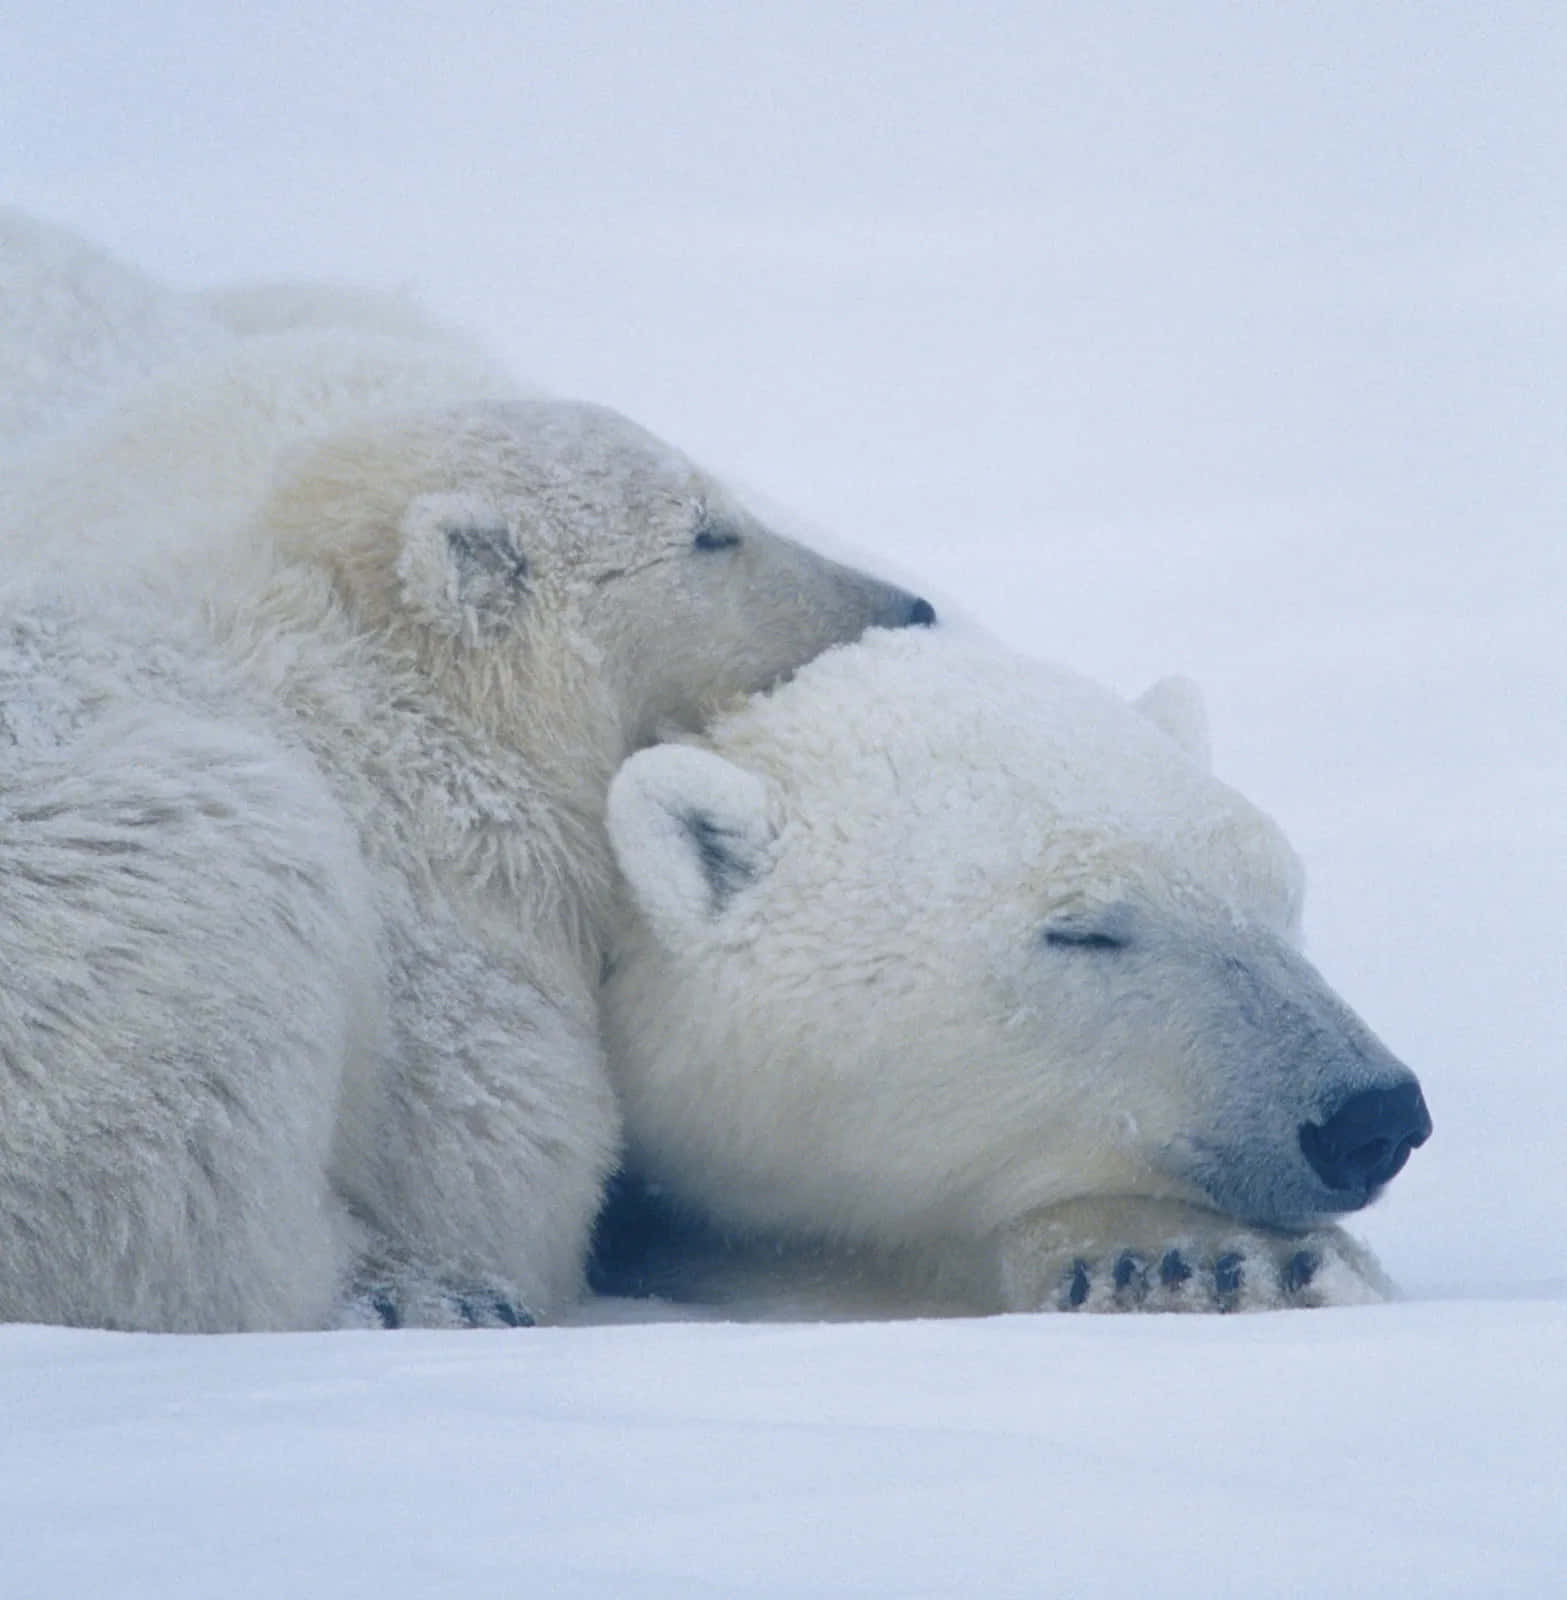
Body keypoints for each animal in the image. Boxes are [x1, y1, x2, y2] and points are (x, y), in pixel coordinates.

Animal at [0, 348, 936, 1333]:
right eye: (708, 534)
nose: (910, 606)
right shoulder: (437, 860)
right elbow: (493, 1131)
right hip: (138, 891)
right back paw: (410, 1289)